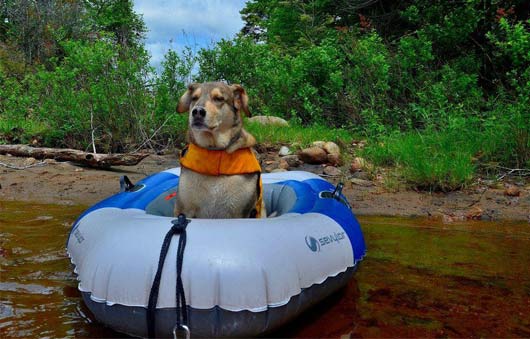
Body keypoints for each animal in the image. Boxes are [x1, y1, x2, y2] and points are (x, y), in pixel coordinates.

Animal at [173, 83, 264, 219]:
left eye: (219, 98)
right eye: (194, 98)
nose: (197, 112)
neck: (215, 152)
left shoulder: (240, 212)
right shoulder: (184, 209)